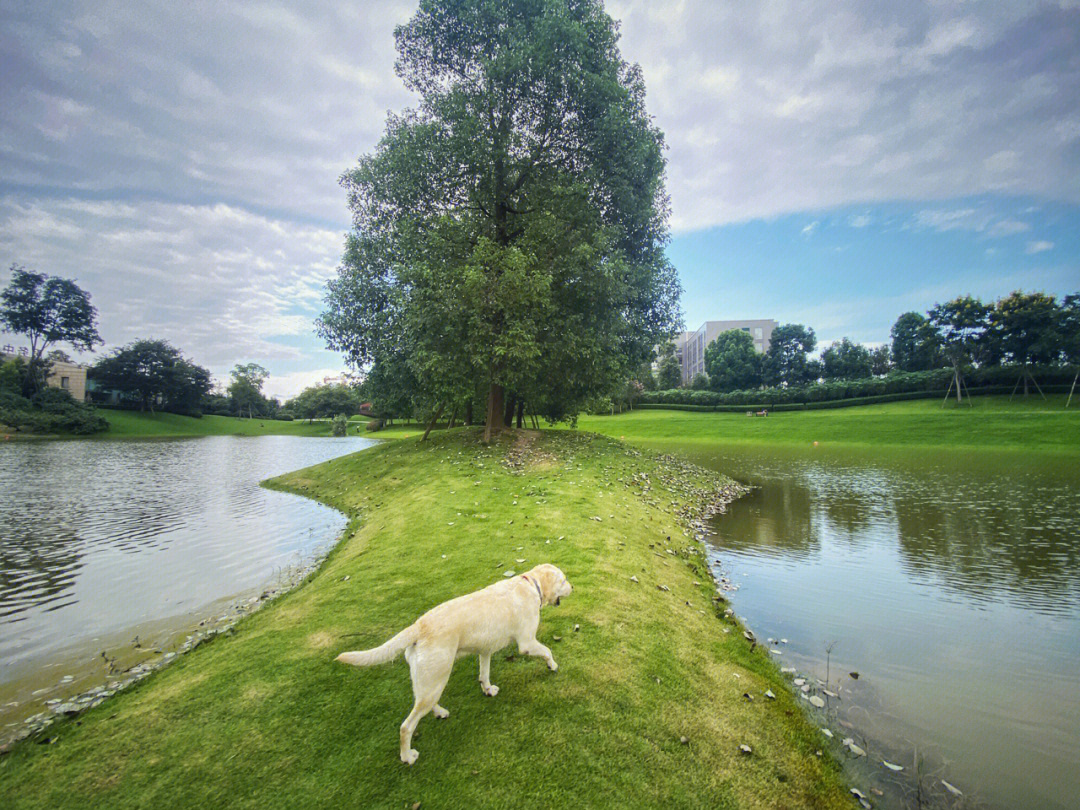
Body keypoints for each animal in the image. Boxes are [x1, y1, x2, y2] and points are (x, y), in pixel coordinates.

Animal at [336, 565, 574, 768]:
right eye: (563, 580)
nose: (573, 587)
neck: (532, 584)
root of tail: (418, 626)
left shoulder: (485, 650)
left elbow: (484, 673)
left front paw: (488, 689)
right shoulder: (527, 643)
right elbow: (547, 651)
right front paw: (553, 665)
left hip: (428, 681)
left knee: (423, 703)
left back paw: (440, 712)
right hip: (437, 678)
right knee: (406, 726)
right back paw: (407, 756)